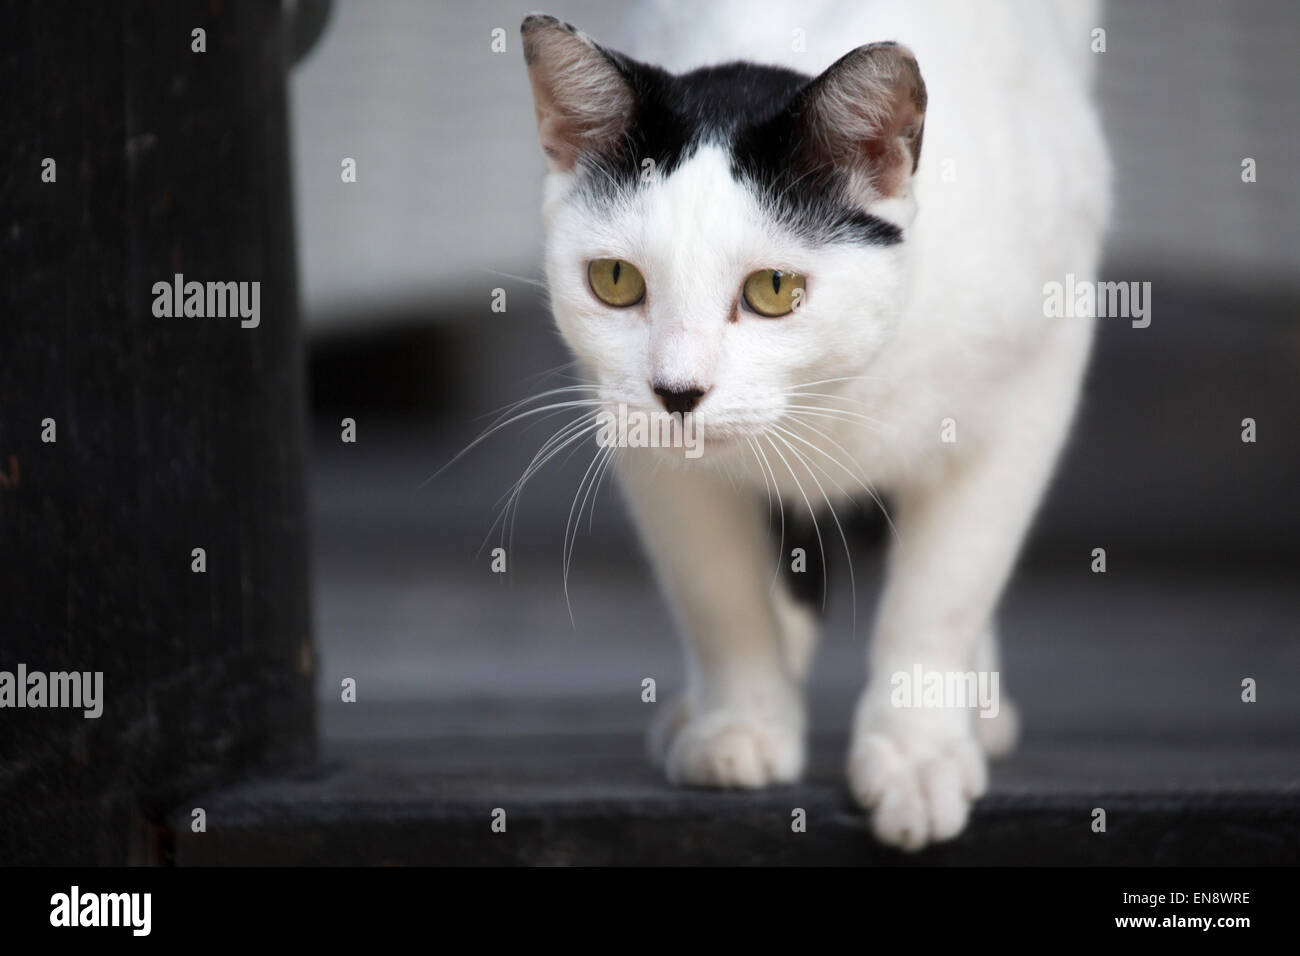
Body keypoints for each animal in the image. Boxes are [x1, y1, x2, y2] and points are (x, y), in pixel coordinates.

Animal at [517, 0, 1107, 853]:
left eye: (773, 288)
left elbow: (946, 590)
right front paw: (740, 723)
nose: (677, 392)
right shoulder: (639, 441)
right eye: (615, 280)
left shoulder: (1033, 384)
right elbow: (717, 592)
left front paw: (916, 750)